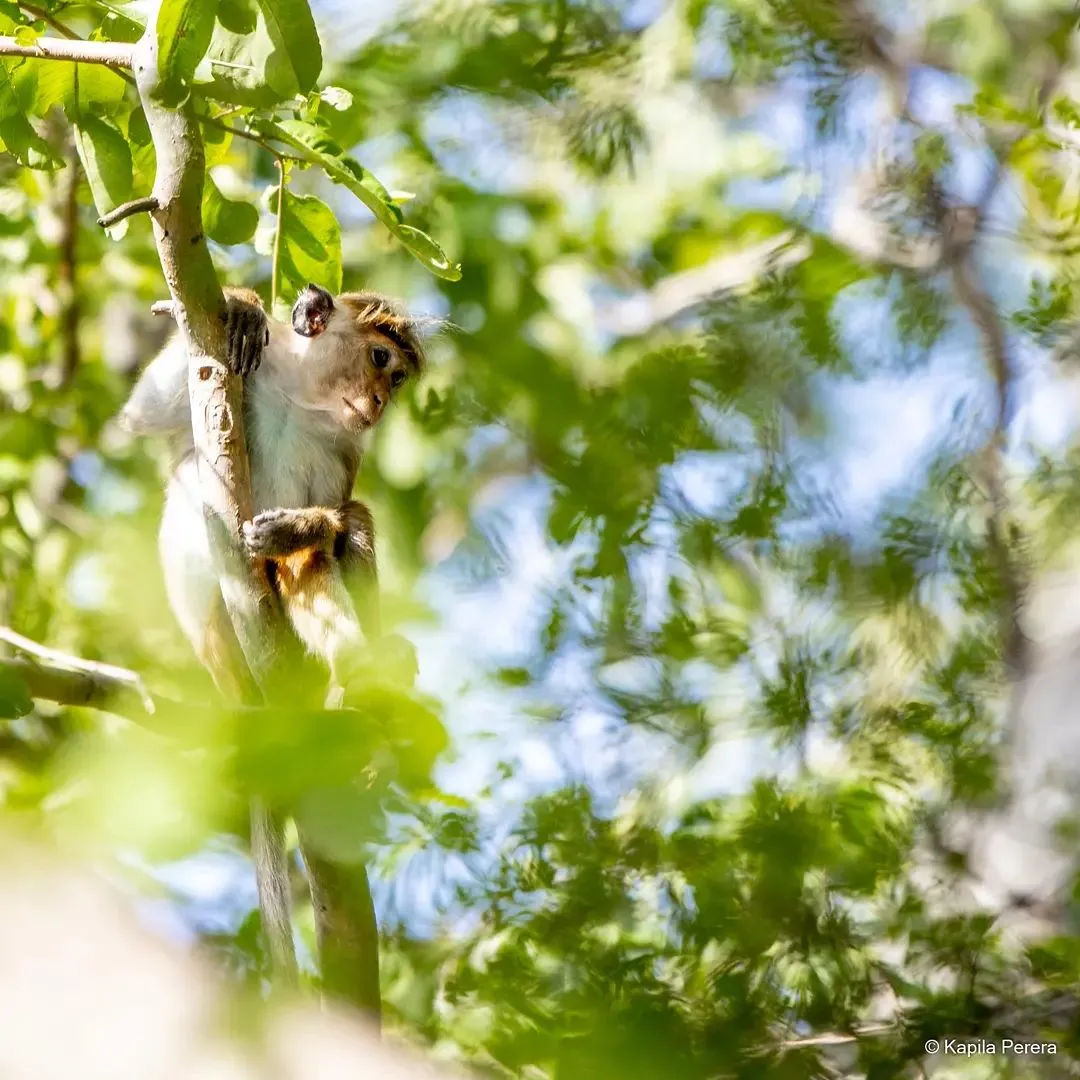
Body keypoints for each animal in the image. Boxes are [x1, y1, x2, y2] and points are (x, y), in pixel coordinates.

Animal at [118, 287, 421, 691]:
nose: (381, 402)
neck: (298, 397)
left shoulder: (347, 445)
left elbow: (329, 514)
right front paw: (242, 304)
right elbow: (144, 413)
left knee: (346, 525)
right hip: (224, 636)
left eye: (397, 378)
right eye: (380, 358)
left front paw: (299, 527)